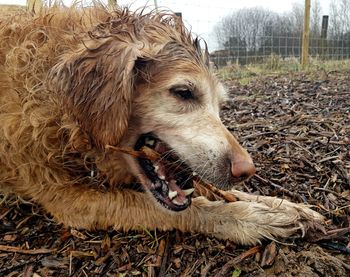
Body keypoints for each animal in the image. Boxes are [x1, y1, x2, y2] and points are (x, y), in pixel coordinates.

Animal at [0, 3, 324, 242]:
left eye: (220, 106)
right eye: (183, 92)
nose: (246, 170)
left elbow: (209, 188)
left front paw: (285, 206)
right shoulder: (67, 198)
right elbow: (171, 208)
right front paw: (249, 218)